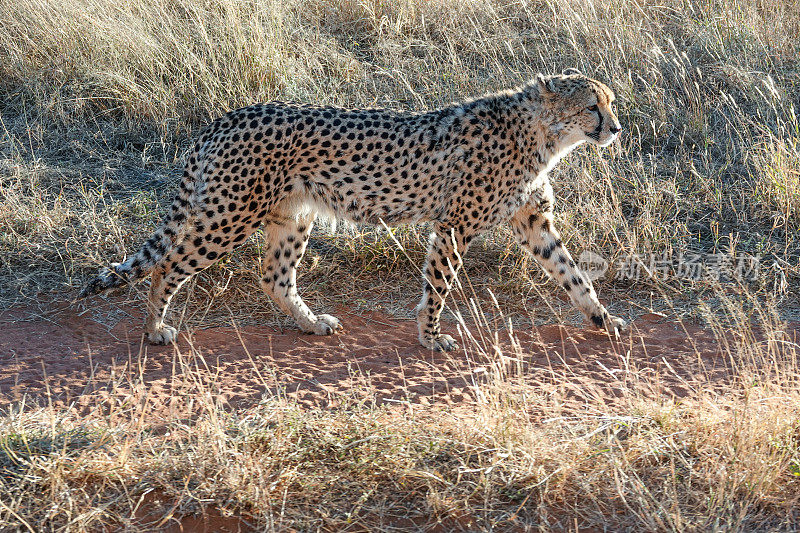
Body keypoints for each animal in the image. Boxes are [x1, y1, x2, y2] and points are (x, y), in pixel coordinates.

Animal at [83, 68, 632, 352]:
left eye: (609, 102)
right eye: (593, 106)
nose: (616, 128)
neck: (541, 134)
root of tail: (226, 117)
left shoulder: (534, 223)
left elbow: (573, 274)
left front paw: (603, 318)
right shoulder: (454, 225)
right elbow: (439, 284)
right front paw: (430, 336)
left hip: (293, 216)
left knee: (273, 277)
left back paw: (309, 324)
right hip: (230, 217)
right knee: (169, 266)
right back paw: (154, 330)